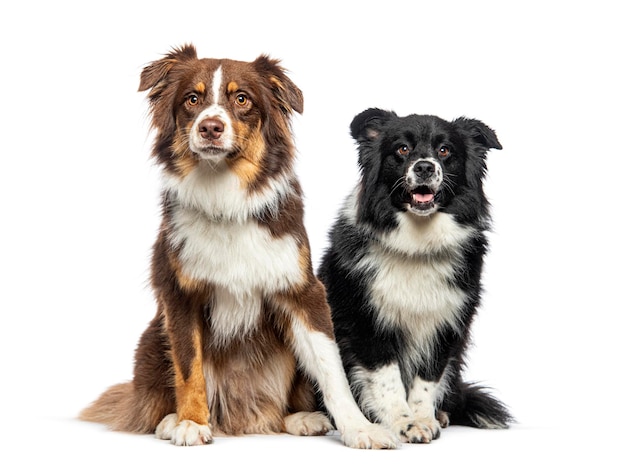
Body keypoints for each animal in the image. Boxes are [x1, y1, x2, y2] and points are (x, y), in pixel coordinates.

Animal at [79, 46, 394, 450]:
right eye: (192, 99)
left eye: (242, 99)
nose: (210, 127)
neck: (224, 197)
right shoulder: (179, 295)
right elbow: (189, 367)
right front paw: (191, 422)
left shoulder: (302, 289)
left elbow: (331, 367)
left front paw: (360, 428)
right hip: (152, 339)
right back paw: (170, 419)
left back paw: (301, 417)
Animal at [316, 107, 512, 444]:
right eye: (402, 149)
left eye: (444, 150)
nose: (424, 167)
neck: (417, 243)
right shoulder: (367, 321)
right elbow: (388, 379)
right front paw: (402, 422)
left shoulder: (445, 323)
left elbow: (427, 379)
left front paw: (422, 419)